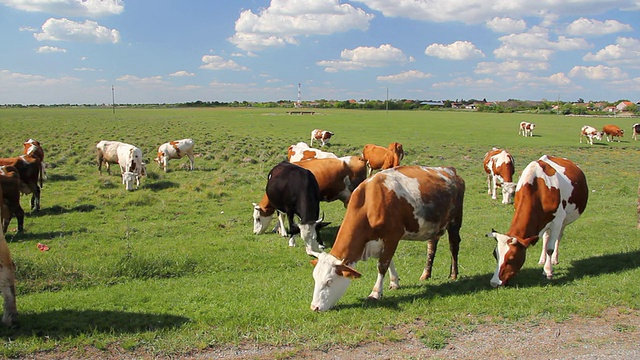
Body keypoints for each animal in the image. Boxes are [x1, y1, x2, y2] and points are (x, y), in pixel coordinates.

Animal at [308, 165, 462, 310]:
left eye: (329, 281)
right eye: (315, 278)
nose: (315, 307)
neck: (369, 203)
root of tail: (450, 170)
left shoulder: (392, 237)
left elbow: (382, 265)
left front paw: (375, 293)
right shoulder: (382, 241)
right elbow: (389, 260)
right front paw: (394, 282)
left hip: (455, 223)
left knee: (454, 246)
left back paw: (454, 275)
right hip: (435, 227)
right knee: (431, 247)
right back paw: (426, 274)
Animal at [488, 155, 588, 286]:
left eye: (511, 258)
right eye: (495, 254)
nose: (494, 282)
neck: (538, 188)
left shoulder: (558, 220)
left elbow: (550, 248)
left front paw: (548, 271)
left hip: (564, 220)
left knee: (558, 237)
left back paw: (554, 259)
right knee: (546, 237)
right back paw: (542, 259)